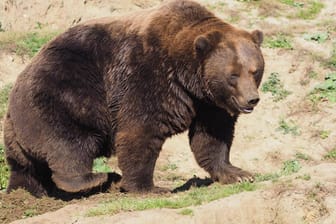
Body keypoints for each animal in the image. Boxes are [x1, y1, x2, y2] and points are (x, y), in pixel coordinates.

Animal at [3, 0, 266, 196]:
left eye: (254, 70)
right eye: (233, 74)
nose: (251, 100)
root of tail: (15, 89)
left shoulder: (207, 104)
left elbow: (212, 136)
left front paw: (238, 174)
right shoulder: (147, 76)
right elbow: (140, 129)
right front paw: (148, 187)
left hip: (17, 133)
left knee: (25, 167)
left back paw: (25, 191)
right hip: (62, 95)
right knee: (69, 143)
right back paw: (97, 178)